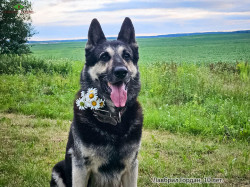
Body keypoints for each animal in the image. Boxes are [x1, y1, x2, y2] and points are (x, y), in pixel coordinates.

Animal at [50, 16, 143, 186]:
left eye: (127, 56)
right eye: (104, 56)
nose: (121, 72)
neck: (113, 118)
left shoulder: (131, 167)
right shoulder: (80, 168)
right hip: (58, 168)